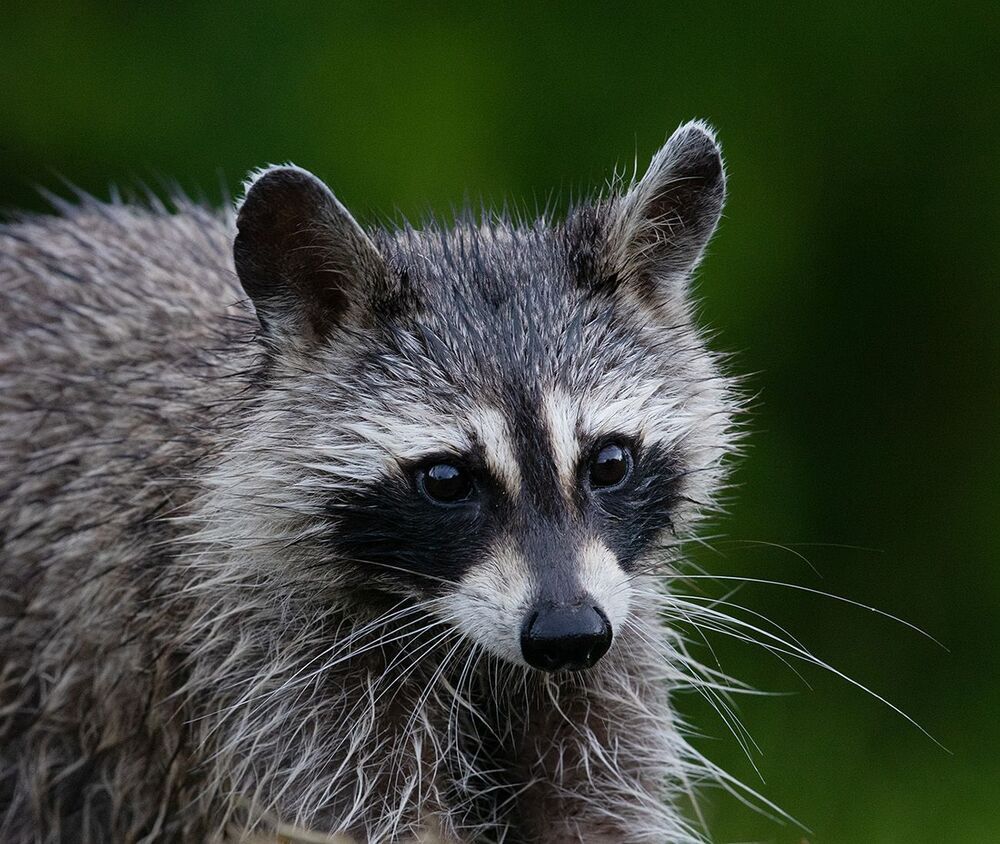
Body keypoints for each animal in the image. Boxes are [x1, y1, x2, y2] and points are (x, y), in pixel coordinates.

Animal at [0, 121, 736, 843]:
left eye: (608, 463)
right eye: (447, 479)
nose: (567, 634)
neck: (458, 637)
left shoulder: (616, 640)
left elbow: (597, 808)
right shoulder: (261, 664)